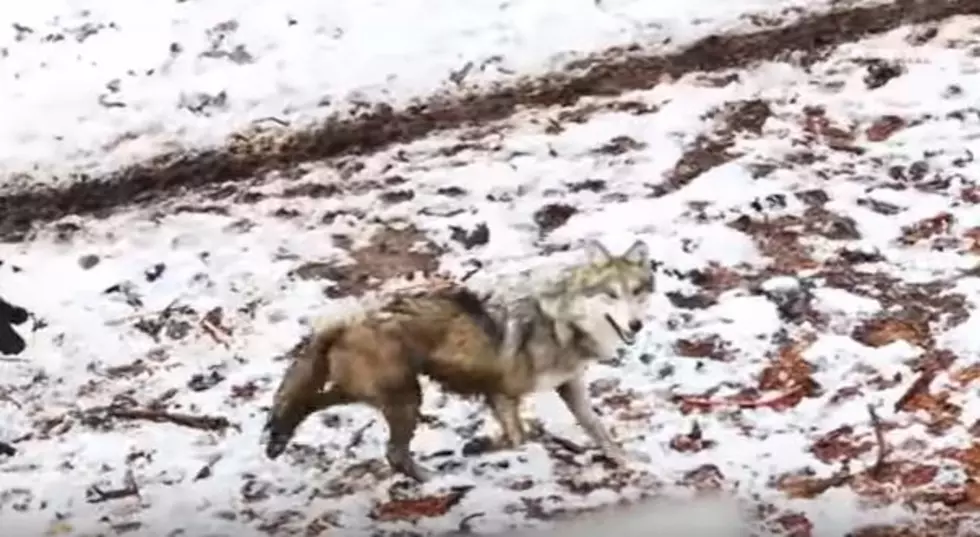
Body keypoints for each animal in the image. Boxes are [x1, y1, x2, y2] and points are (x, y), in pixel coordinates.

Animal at [264, 239, 656, 482]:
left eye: (637, 292)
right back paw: (435, 481)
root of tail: (342, 318)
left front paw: (627, 461)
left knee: (308, 403)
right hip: (406, 399)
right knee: (393, 453)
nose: (636, 324)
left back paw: (279, 438)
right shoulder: (503, 393)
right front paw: (488, 450)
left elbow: (597, 429)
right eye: (611, 295)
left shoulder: (568, 384)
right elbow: (520, 438)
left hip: (376, 393)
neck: (559, 321)